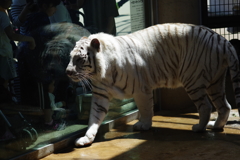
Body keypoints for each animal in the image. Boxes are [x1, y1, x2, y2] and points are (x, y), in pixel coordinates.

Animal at [65, 23, 240, 147]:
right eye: (70, 57)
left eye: (79, 59)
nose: (67, 72)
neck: (101, 74)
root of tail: (222, 39)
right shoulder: (101, 95)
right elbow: (94, 117)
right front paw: (86, 138)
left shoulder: (141, 90)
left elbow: (145, 109)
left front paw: (144, 125)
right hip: (215, 83)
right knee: (225, 106)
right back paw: (215, 126)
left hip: (193, 80)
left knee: (206, 106)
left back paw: (199, 128)